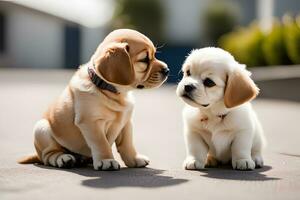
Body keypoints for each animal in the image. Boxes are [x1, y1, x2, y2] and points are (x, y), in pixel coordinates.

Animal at [19, 28, 169, 171]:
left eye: (154, 55)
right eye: (145, 60)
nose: (167, 70)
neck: (112, 91)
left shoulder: (126, 123)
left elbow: (127, 143)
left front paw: (135, 159)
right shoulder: (91, 122)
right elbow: (101, 143)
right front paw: (106, 160)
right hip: (42, 129)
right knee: (48, 155)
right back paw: (64, 159)